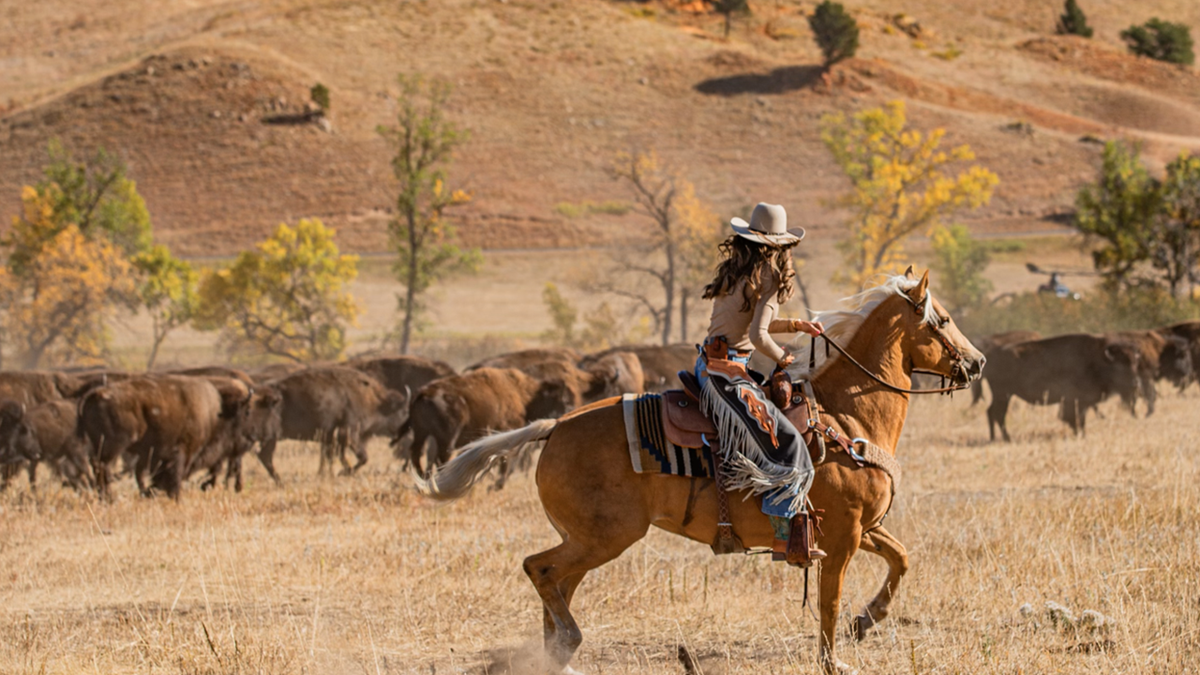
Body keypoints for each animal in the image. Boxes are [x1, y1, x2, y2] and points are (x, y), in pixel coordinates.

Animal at [258, 367, 408, 478]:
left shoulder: (330, 436)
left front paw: (328, 474)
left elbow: (331, 456)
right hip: (271, 437)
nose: (408, 433)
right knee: (265, 456)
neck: (376, 402)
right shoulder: (349, 432)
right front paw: (343, 472)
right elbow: (361, 457)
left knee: (264, 456)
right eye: (403, 412)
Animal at [417, 269, 979, 672]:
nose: (977, 363)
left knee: (555, 582)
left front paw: (868, 620)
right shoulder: (841, 537)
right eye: (944, 319)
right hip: (606, 536)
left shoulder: (863, 528)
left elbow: (901, 559)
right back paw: (568, 646)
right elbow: (830, 602)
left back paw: (556, 656)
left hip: (585, 539)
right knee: (540, 570)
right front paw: (835, 658)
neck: (846, 415)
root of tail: (555, 426)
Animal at [979, 331, 1137, 441]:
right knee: (998, 413)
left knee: (991, 411)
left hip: (1003, 395)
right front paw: (1080, 435)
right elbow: (1072, 418)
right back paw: (1007, 438)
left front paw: (1082, 434)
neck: (1097, 360)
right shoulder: (1074, 401)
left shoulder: (1082, 402)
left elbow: (1080, 419)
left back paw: (994, 438)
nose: (1135, 384)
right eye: (1120, 366)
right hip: (1003, 394)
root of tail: (991, 356)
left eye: (1134, 363)